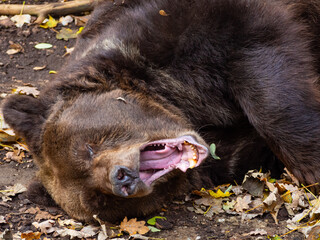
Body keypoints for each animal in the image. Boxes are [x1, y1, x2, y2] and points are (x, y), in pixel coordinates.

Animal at [3, 0, 320, 222]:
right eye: (99, 199)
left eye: (88, 147)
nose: (122, 178)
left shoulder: (197, 26)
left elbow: (265, 73)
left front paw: (311, 164)